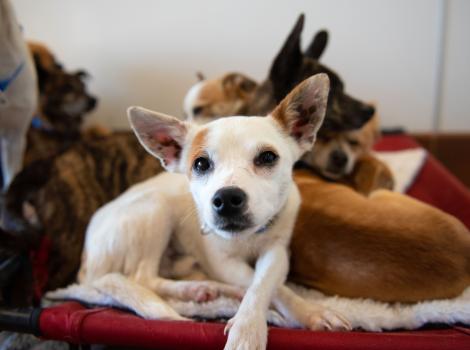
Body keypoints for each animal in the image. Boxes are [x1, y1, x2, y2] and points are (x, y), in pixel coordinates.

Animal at [75, 74, 350, 350]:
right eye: (200, 164)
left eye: (268, 157)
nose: (226, 199)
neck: (247, 238)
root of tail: (86, 263)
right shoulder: (223, 262)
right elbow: (267, 284)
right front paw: (250, 330)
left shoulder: (277, 252)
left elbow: (263, 282)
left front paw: (301, 314)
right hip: (155, 207)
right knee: (142, 277)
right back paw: (196, 289)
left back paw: (205, 287)